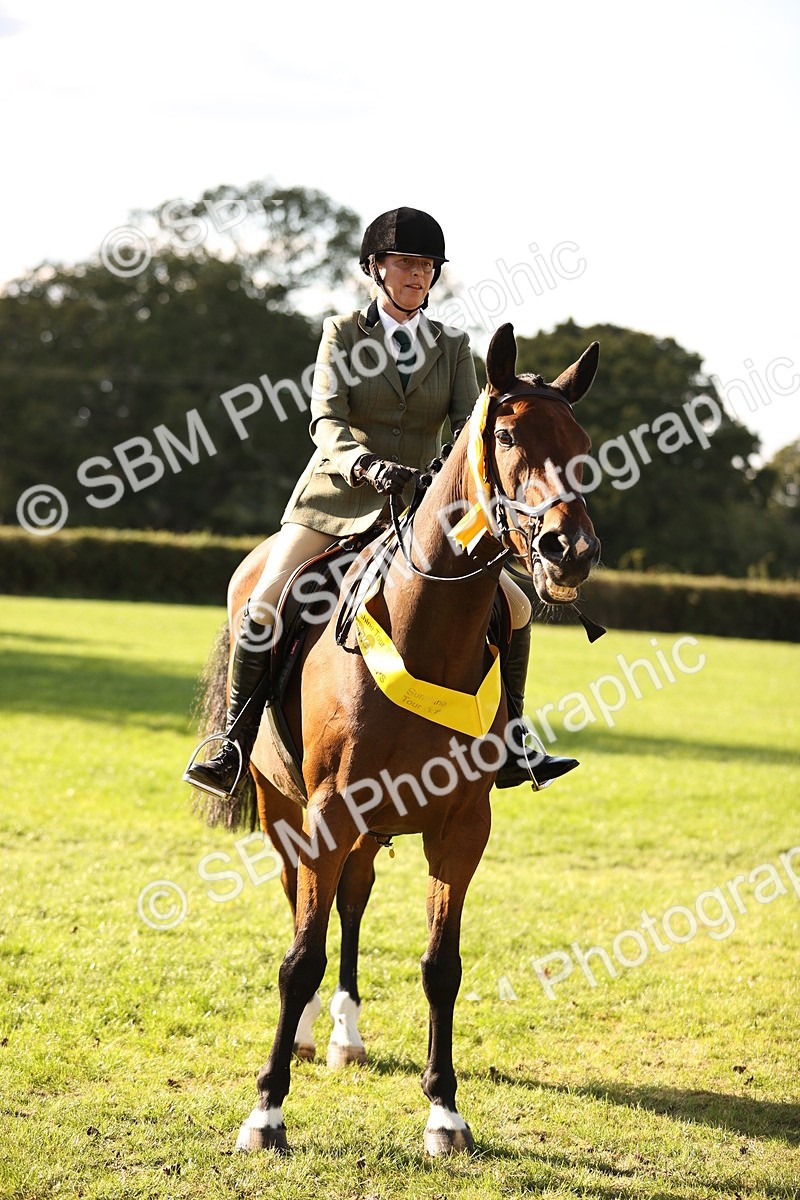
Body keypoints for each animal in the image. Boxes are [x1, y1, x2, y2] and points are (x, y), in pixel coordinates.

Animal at [191, 322, 601, 1155]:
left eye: (581, 443)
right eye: (506, 436)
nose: (569, 550)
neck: (426, 633)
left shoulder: (461, 827)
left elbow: (441, 964)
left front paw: (445, 1111)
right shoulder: (326, 815)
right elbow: (299, 956)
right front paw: (266, 1112)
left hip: (372, 827)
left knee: (351, 903)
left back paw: (346, 1035)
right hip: (285, 809)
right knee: (301, 901)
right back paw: (309, 1035)